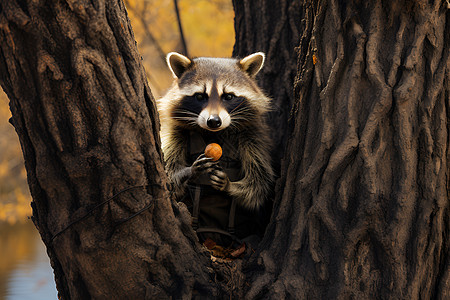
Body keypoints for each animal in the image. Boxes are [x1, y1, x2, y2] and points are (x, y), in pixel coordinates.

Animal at [158, 52, 274, 214]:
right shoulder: (174, 133)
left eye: (228, 96)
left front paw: (230, 186)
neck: (213, 132)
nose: (213, 121)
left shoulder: (252, 136)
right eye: (200, 96)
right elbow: (169, 176)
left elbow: (259, 183)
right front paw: (189, 171)